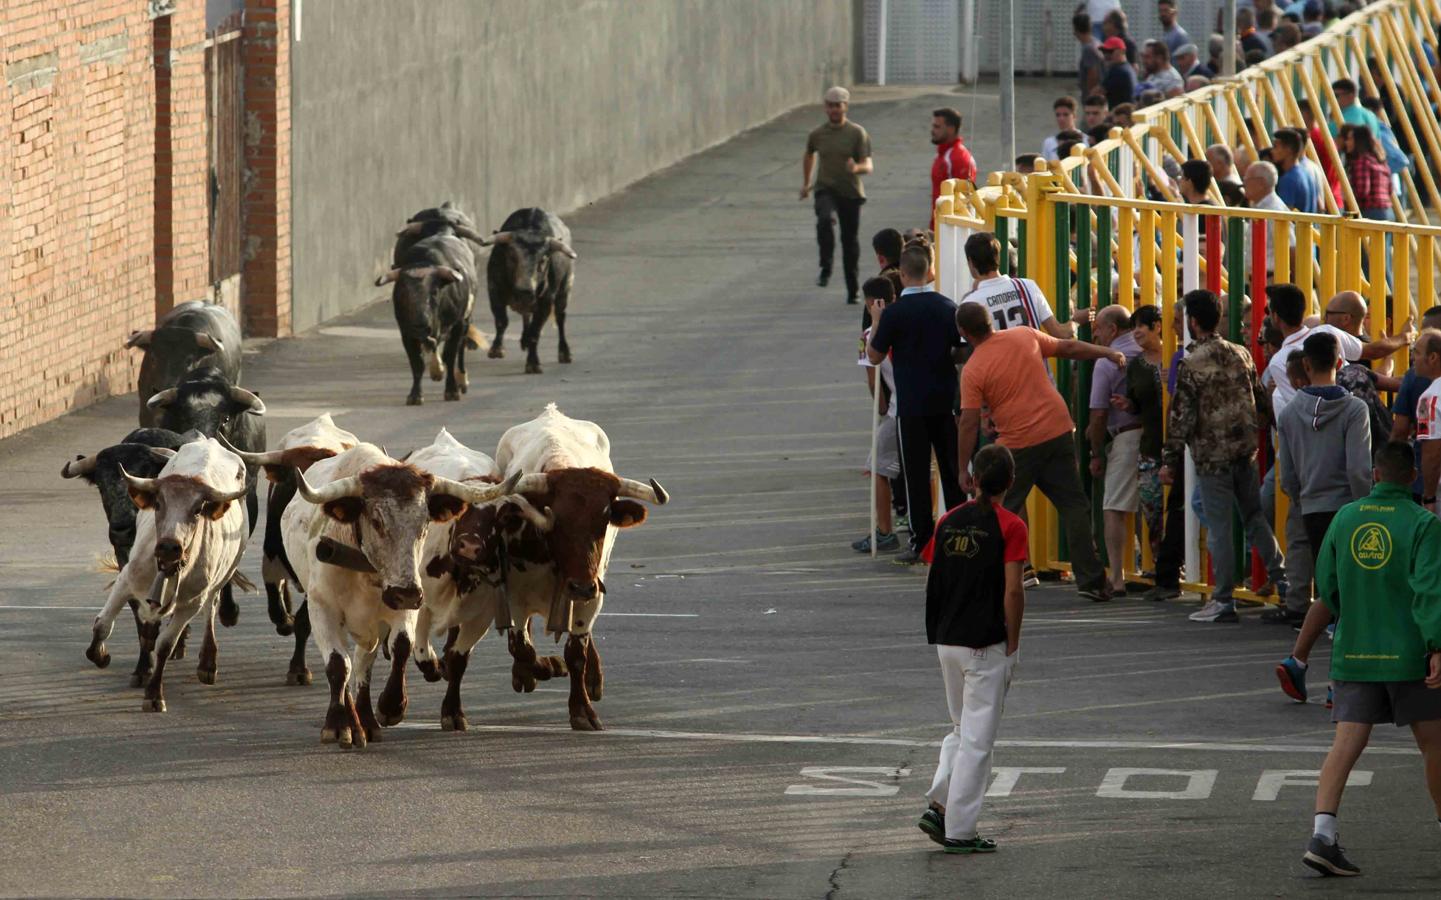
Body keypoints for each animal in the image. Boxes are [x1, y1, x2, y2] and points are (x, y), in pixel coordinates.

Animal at [84, 437, 249, 711]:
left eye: (197, 509)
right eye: (159, 504)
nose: (170, 546)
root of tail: (209, 441)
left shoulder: (191, 603)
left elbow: (165, 645)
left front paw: (154, 694)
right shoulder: (126, 579)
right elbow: (103, 624)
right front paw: (100, 655)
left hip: (223, 575)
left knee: (211, 607)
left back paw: (207, 662)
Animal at [487, 406, 659, 731]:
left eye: (604, 521)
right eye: (557, 521)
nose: (580, 586)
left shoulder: (592, 594)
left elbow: (576, 652)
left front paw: (582, 710)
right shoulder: (514, 594)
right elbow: (522, 647)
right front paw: (538, 669)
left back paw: (593, 678)